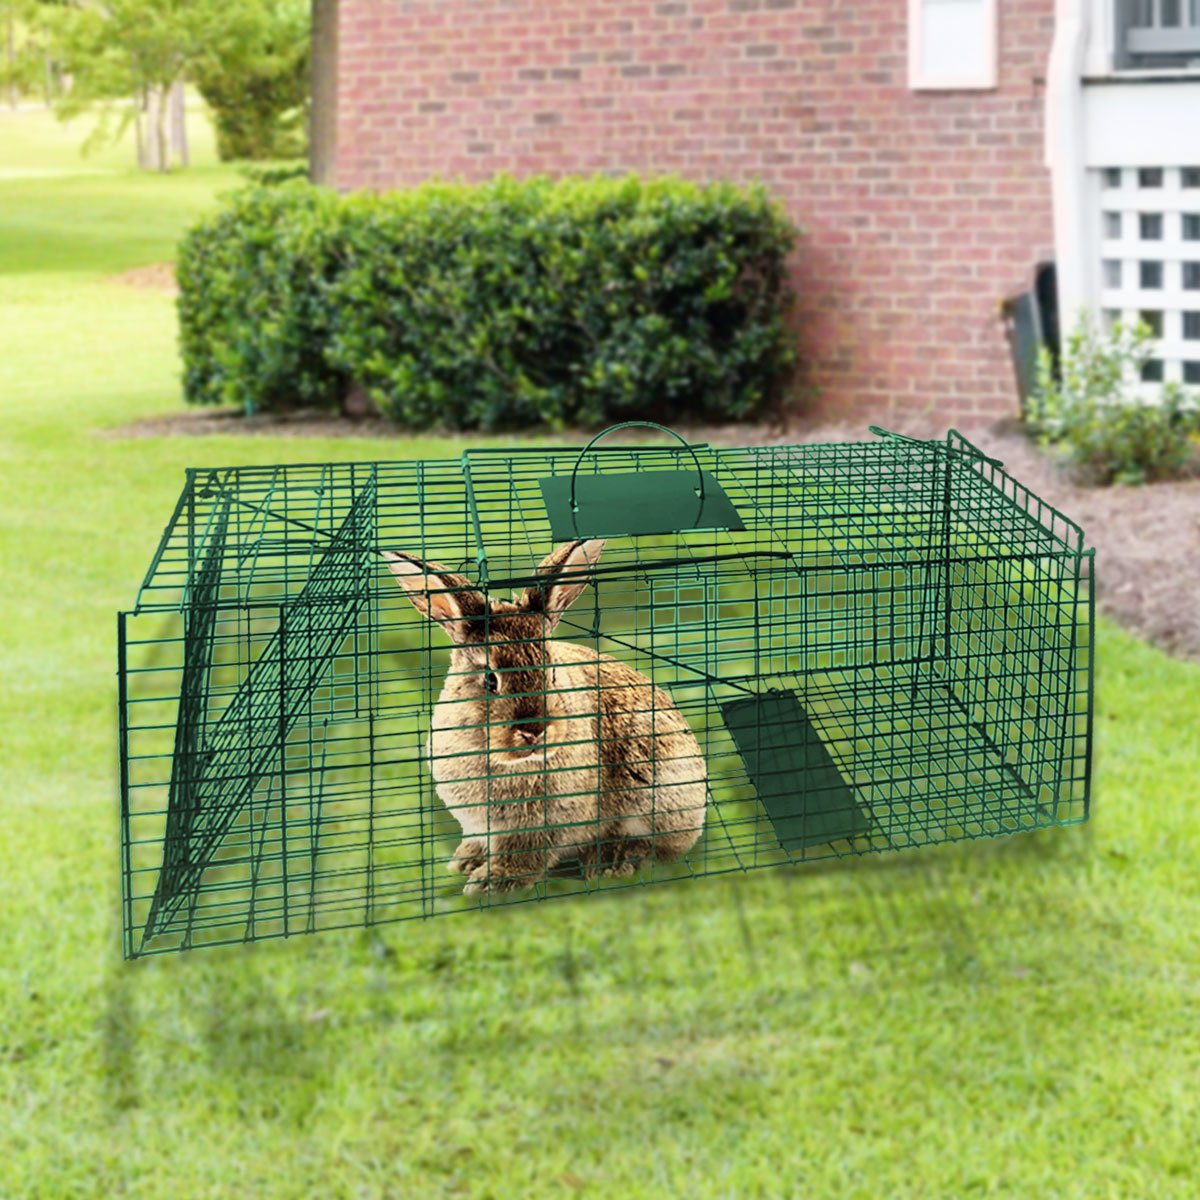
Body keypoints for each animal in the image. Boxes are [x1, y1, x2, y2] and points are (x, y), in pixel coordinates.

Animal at [383, 539, 707, 895]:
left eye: (552, 673)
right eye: (490, 680)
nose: (534, 731)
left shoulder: (542, 825)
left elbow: (526, 856)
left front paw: (491, 883)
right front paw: (465, 862)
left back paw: (613, 861)